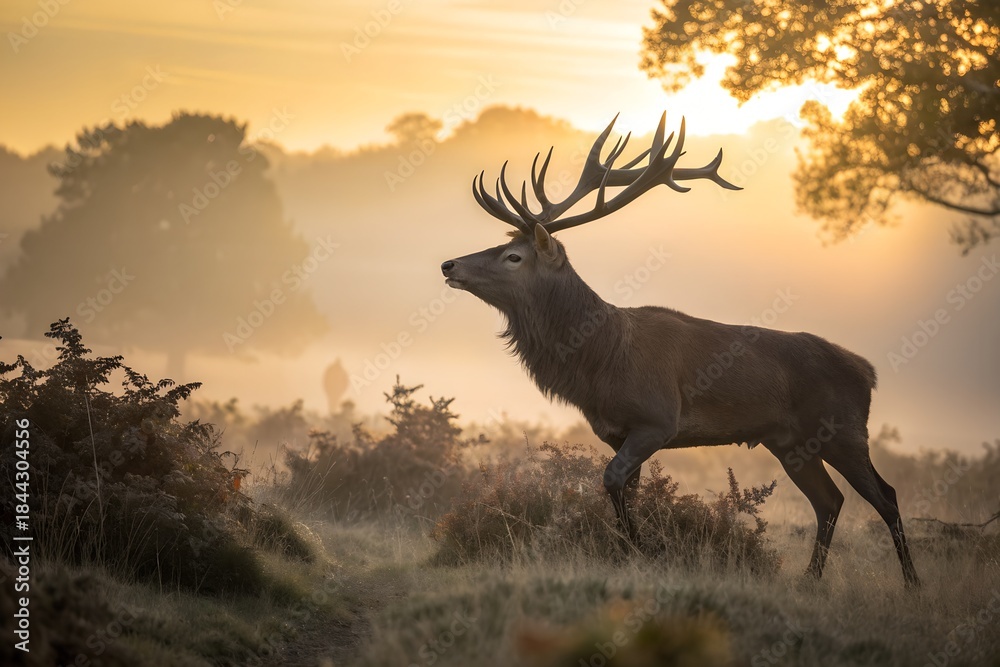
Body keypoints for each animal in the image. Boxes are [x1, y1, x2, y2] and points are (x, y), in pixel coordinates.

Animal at [440, 112, 919, 587]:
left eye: (514, 256)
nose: (449, 264)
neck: (599, 360)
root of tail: (867, 371)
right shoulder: (617, 430)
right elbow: (626, 489)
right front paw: (628, 553)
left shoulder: (658, 419)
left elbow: (611, 480)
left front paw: (645, 550)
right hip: (789, 442)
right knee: (830, 500)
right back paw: (810, 579)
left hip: (844, 430)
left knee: (886, 495)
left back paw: (912, 582)